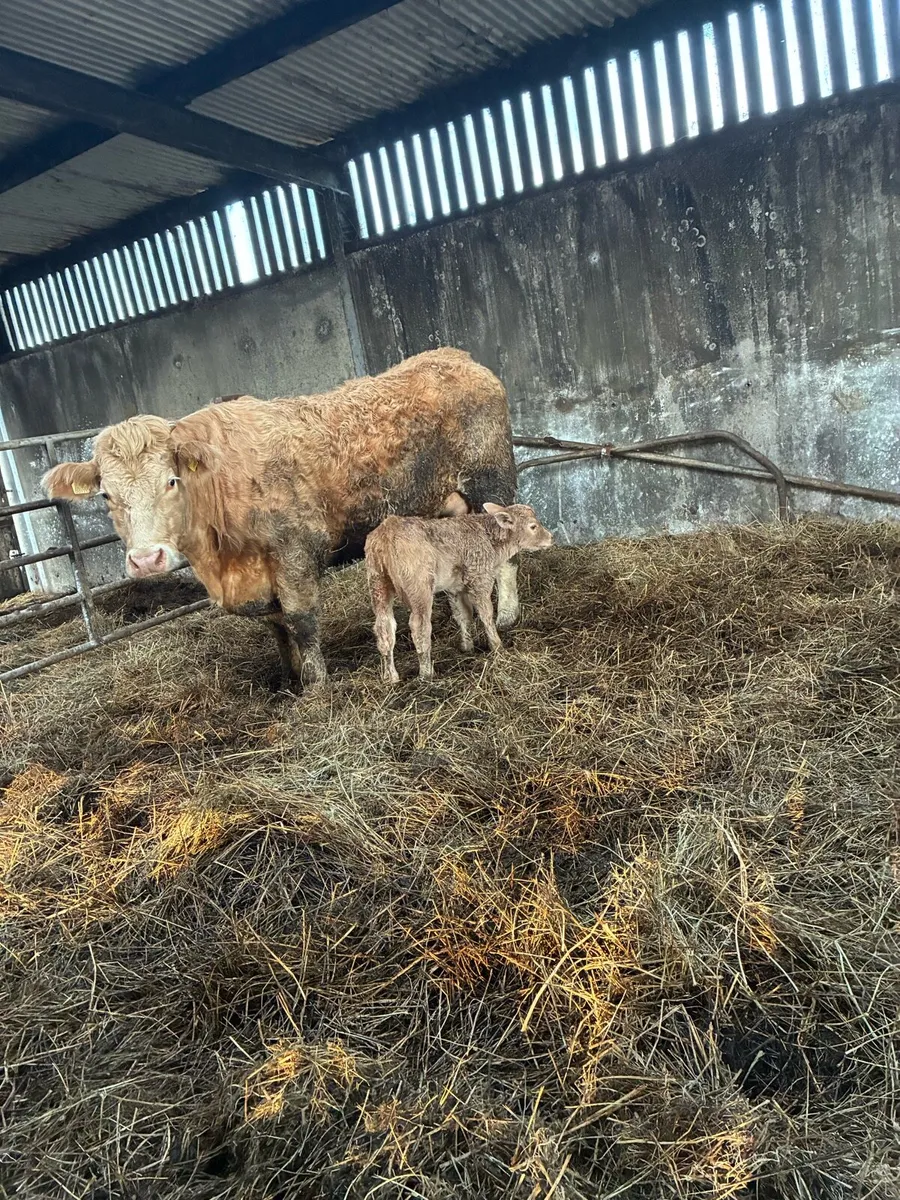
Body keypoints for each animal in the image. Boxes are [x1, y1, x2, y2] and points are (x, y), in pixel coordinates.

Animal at [42, 349, 519, 688]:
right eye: (107, 494)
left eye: (172, 481)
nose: (146, 560)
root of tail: (455, 357)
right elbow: (277, 628)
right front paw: (292, 680)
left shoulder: (295, 553)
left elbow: (301, 621)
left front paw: (317, 685)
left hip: (492, 485)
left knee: (507, 557)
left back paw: (508, 616)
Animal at [365, 503, 553, 682]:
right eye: (533, 526)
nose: (551, 537)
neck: (490, 539)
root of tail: (387, 532)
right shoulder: (480, 577)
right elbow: (486, 614)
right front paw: (497, 647)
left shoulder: (455, 588)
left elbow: (464, 615)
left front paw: (467, 647)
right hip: (419, 584)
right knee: (419, 626)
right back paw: (426, 673)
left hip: (377, 582)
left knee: (384, 628)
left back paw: (390, 677)